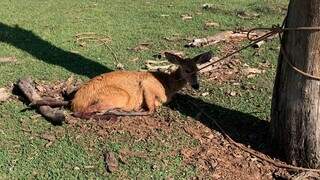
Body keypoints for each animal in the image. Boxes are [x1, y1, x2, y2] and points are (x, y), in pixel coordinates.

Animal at [70, 50, 212, 118]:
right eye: (187, 70)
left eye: (198, 70)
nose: (196, 85)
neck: (168, 84)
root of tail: (76, 102)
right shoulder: (148, 85)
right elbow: (151, 109)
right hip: (120, 96)